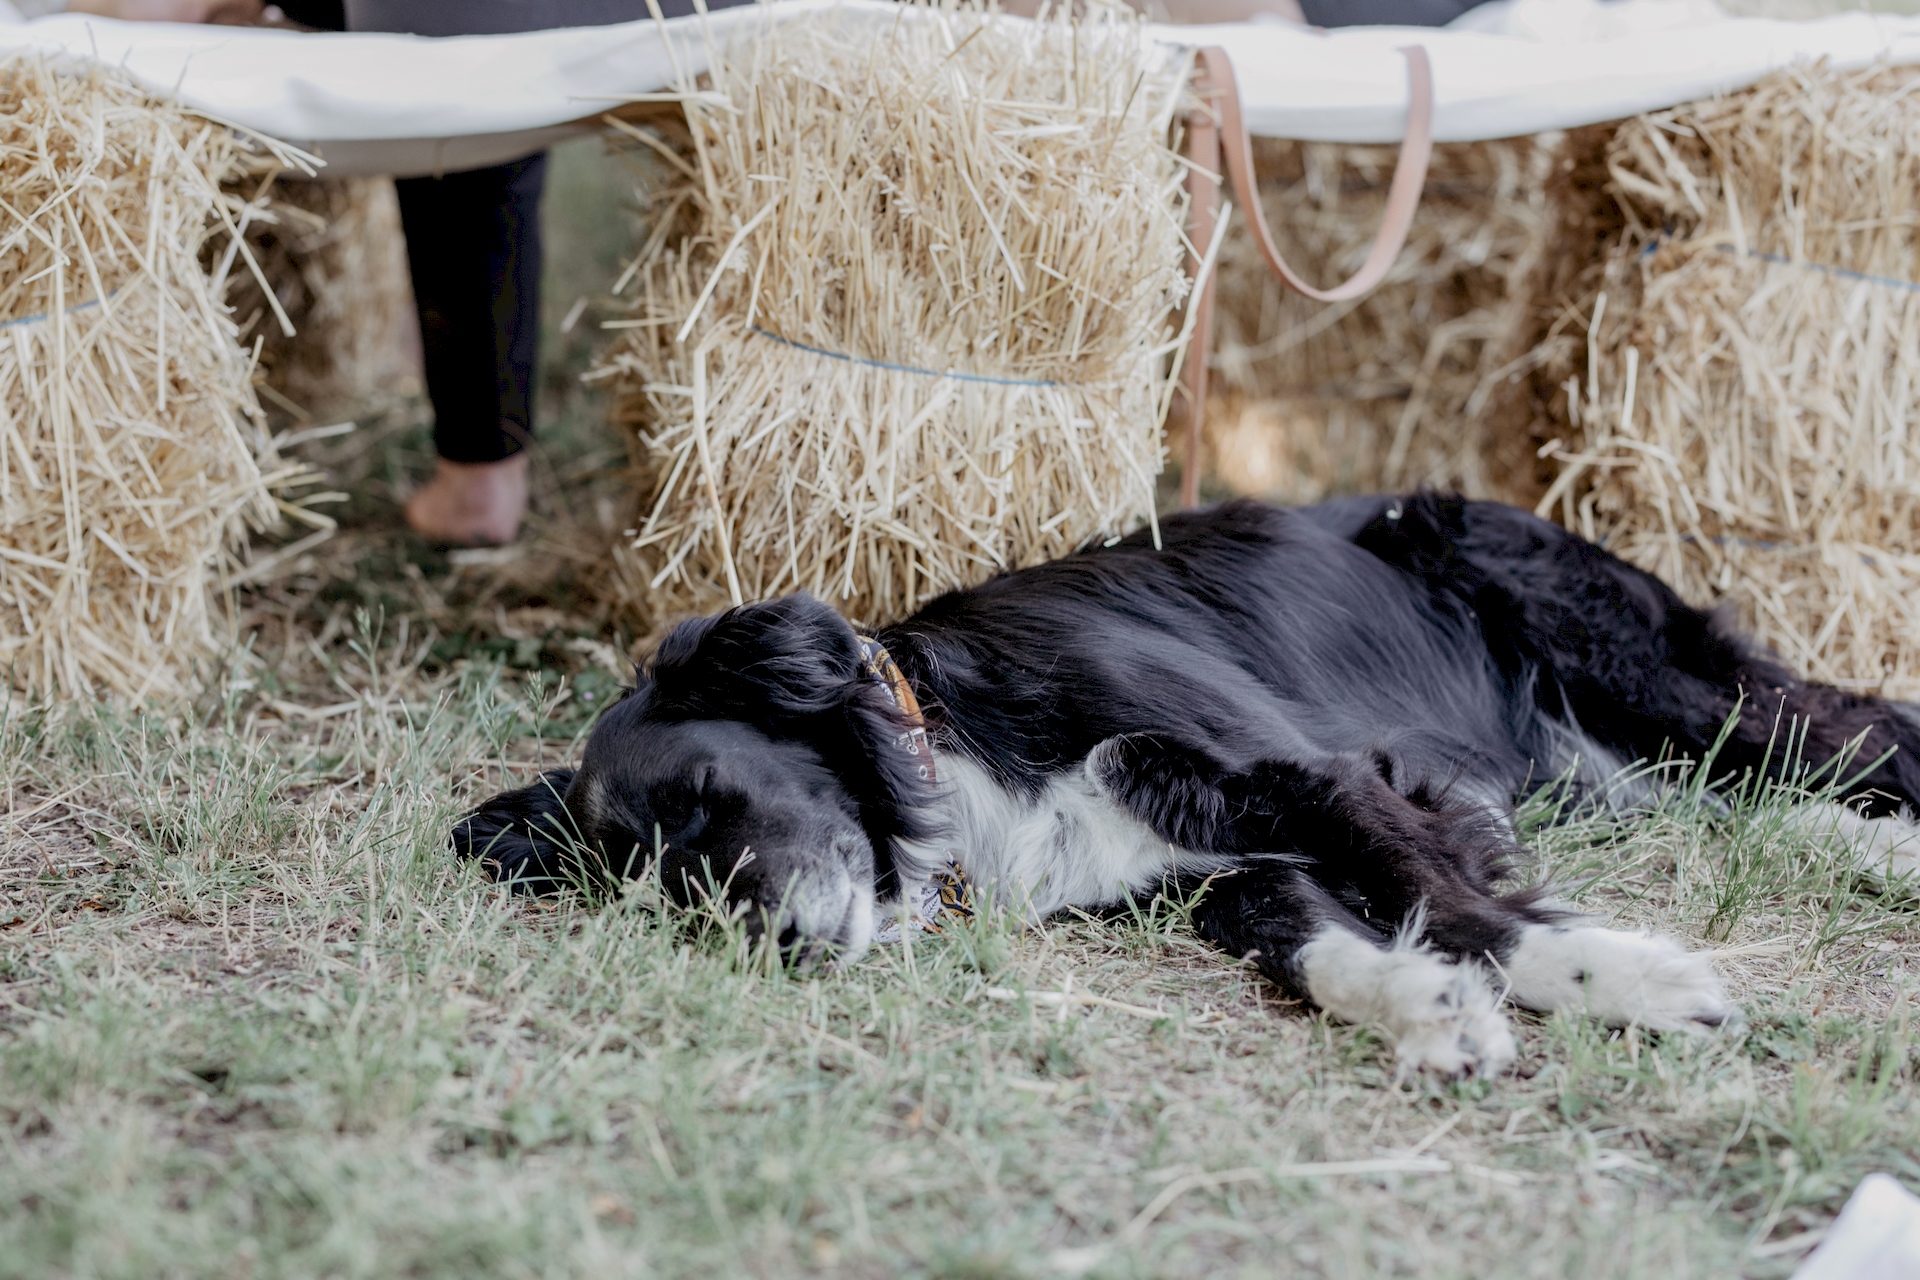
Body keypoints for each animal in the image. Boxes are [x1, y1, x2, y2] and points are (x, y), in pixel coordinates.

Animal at [453, 495, 1920, 1074]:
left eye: (712, 796)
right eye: (663, 896)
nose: (780, 944)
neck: (954, 752)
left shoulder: (1307, 772)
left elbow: (1456, 902)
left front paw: (1627, 979)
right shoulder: (1236, 857)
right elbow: (1298, 935)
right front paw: (1429, 1009)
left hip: (1646, 669)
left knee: (1855, 730)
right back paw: (1880, 856)